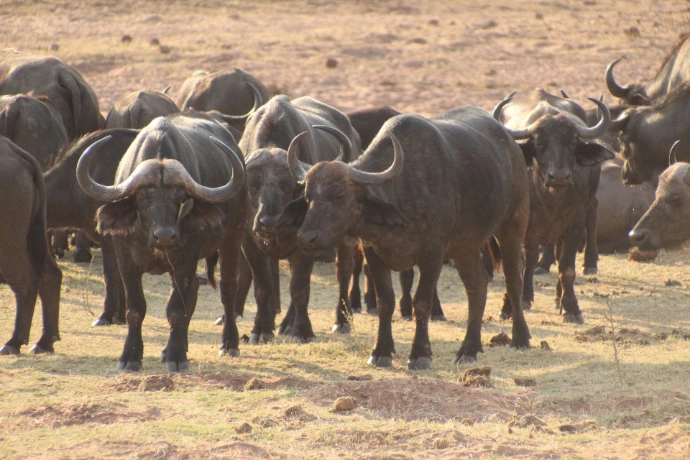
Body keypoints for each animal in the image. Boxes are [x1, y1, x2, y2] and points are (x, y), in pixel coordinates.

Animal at [0, 137, 62, 355]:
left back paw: (13, 342)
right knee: (51, 274)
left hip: (9, 239)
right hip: (33, 234)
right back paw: (45, 341)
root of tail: (13, 149)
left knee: (26, 280)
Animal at [75, 113, 247, 371]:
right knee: (194, 291)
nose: (165, 235)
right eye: (144, 198)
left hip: (233, 238)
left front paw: (177, 357)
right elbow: (136, 308)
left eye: (180, 198)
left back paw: (229, 344)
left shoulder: (186, 259)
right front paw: (131, 356)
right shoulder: (125, 258)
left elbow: (176, 309)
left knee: (227, 290)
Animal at [286, 106, 531, 369]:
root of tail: (512, 144)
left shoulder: (433, 254)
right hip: (466, 246)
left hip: (513, 224)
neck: (403, 189)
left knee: (513, 279)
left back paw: (520, 338)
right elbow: (385, 302)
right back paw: (469, 349)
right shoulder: (373, 253)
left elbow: (421, 303)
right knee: (477, 285)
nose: (306, 237)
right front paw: (381, 351)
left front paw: (420, 354)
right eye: (308, 196)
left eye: (339, 195)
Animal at [494, 89, 614, 324]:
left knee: (589, 216)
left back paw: (585, 268)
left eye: (572, 142)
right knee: (534, 258)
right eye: (540, 143)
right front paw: (509, 305)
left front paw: (571, 308)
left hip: (588, 202)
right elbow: (518, 266)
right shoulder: (520, 226)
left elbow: (566, 268)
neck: (550, 200)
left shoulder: (573, 226)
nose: (558, 176)